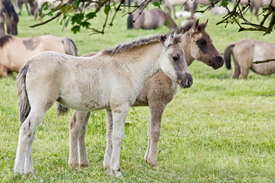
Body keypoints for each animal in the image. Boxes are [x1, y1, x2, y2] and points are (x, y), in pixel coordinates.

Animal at [13, 31, 194, 177]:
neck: (125, 68)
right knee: (26, 129)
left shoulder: (109, 109)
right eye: (175, 57)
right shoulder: (121, 108)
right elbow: (118, 137)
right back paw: (20, 172)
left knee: (31, 133)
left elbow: (109, 136)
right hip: (41, 106)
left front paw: (108, 169)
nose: (188, 81)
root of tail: (29, 63)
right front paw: (117, 171)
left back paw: (29, 171)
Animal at [64, 19, 224, 171]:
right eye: (202, 41)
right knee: (75, 126)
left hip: (87, 106)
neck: (160, 69)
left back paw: (84, 163)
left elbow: (149, 131)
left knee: (82, 129)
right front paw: (153, 162)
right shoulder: (157, 103)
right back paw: (74, 164)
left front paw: (147, 159)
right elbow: (155, 131)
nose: (220, 60)